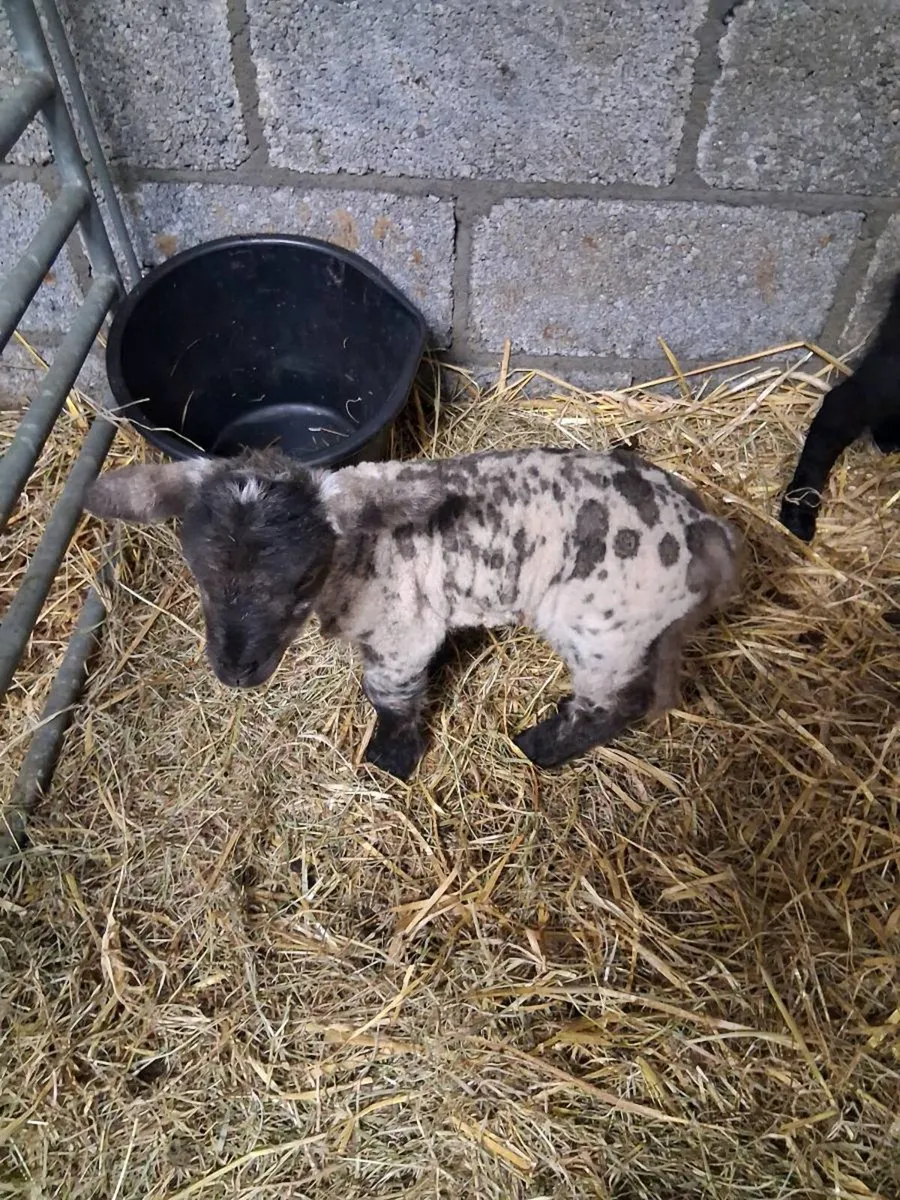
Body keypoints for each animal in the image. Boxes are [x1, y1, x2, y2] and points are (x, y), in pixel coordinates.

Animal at [83, 444, 741, 779]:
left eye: (300, 581)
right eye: (199, 576)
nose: (235, 672)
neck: (359, 554)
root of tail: (709, 535)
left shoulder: (401, 632)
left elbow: (389, 695)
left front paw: (390, 759)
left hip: (601, 628)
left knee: (615, 702)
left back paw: (540, 746)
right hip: (645, 626)